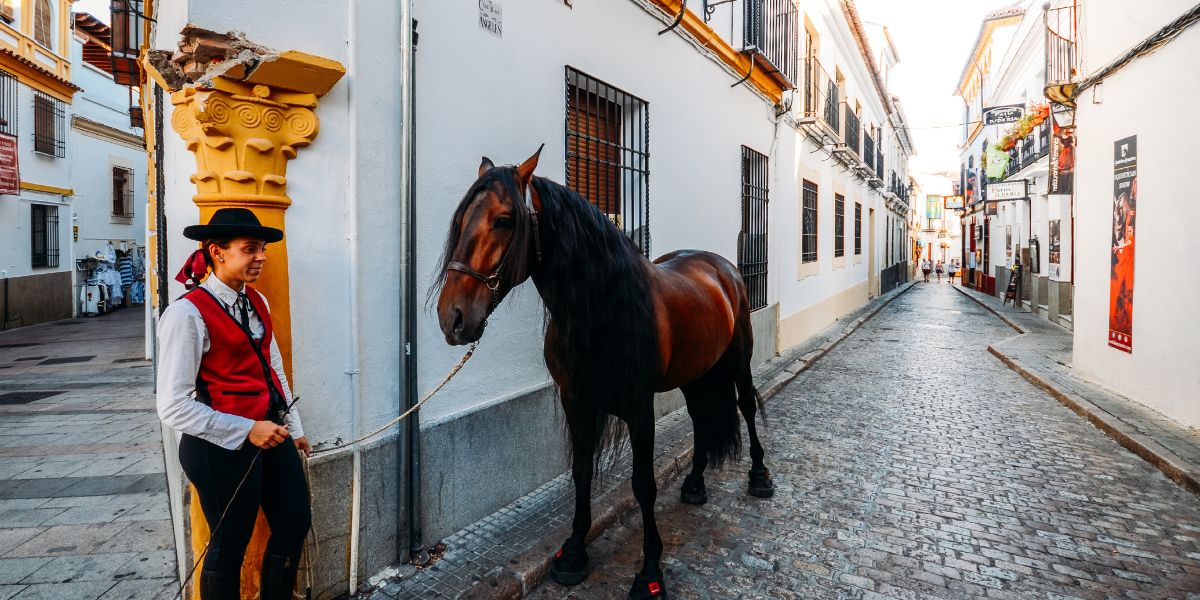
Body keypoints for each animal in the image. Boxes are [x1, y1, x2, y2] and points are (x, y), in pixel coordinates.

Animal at [436, 147, 772, 597]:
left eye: (504, 219)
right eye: (459, 221)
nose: (452, 317)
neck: (600, 309)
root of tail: (721, 267)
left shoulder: (639, 408)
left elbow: (643, 484)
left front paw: (650, 571)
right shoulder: (576, 401)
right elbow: (580, 472)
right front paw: (574, 551)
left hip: (737, 359)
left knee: (746, 407)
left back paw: (760, 477)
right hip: (695, 371)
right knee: (702, 417)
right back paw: (696, 484)